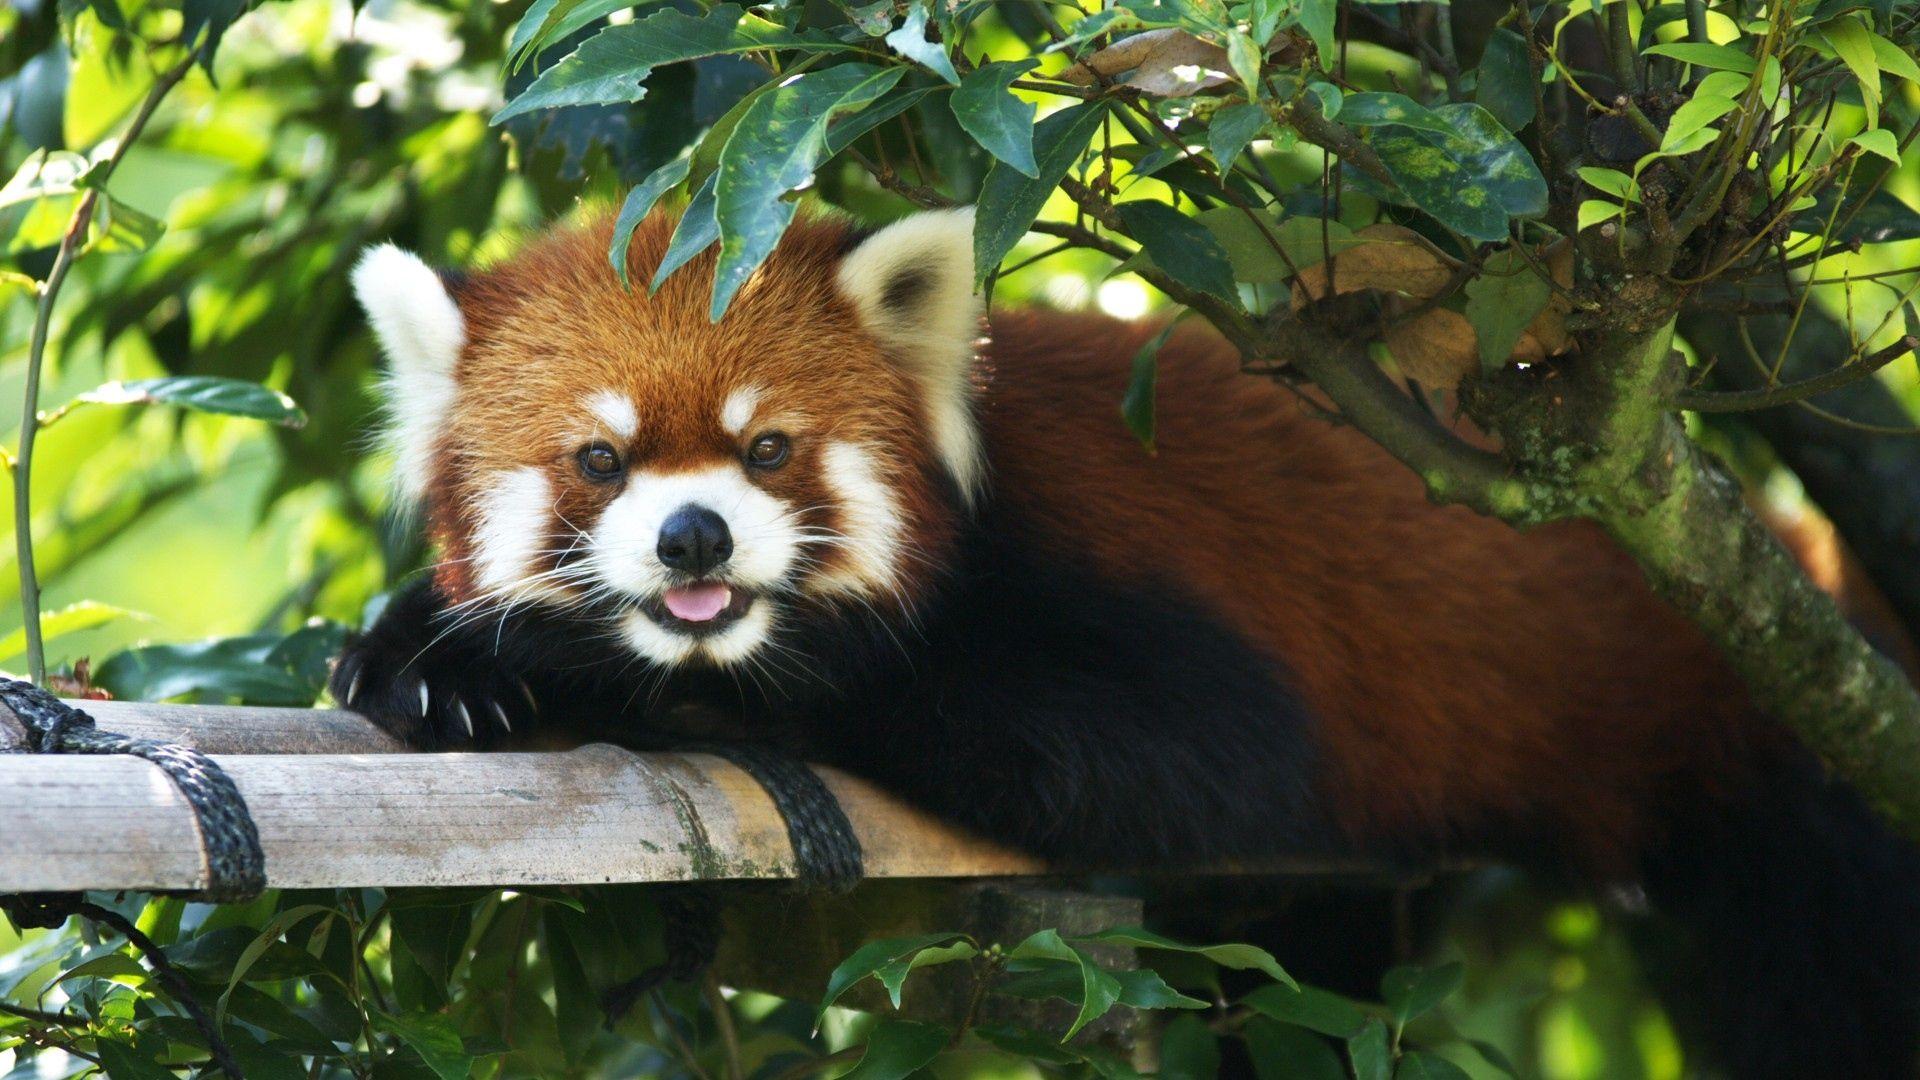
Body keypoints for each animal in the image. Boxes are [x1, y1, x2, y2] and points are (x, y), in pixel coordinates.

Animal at [332, 206, 1920, 1077]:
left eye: (768, 448)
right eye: (599, 463)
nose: (693, 544)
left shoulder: (1112, 586)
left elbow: (1187, 758)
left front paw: (575, 665)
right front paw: (425, 649)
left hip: (1768, 767)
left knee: (1838, 983)